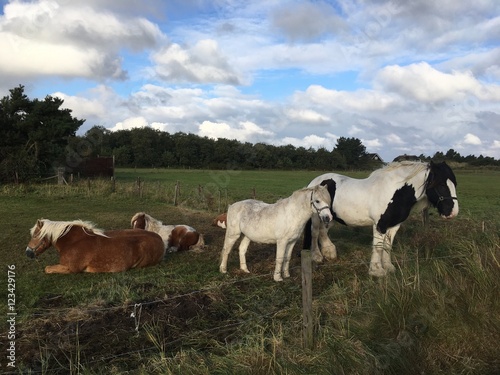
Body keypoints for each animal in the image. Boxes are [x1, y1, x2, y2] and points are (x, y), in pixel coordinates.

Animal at [25, 219, 164, 274]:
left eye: (36, 235)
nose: (28, 252)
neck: (73, 241)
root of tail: (160, 239)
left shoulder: (71, 269)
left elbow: (47, 269)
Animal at [302, 160, 458, 278]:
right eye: (441, 185)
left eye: (455, 184)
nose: (453, 212)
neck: (395, 192)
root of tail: (315, 182)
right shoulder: (380, 225)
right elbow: (378, 247)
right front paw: (377, 271)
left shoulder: (394, 226)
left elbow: (387, 246)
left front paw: (388, 267)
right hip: (317, 217)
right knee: (315, 232)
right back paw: (317, 256)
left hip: (330, 217)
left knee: (323, 232)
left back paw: (330, 253)